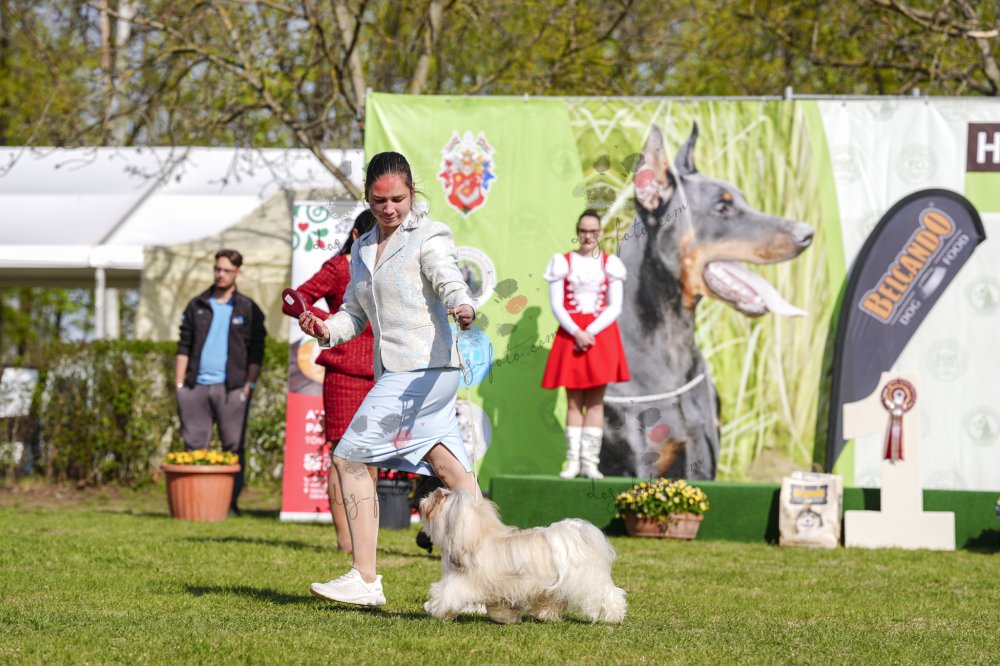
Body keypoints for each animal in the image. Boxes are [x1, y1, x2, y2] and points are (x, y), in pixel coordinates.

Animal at [419, 488, 626, 624]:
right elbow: (501, 606)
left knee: (609, 595)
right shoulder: (500, 588)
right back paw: (544, 615)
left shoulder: (461, 580)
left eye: (442, 497)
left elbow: (446, 594)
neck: (478, 536)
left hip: (587, 582)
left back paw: (614, 617)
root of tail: (578, 533)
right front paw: (509, 618)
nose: (434, 490)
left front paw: (434, 608)